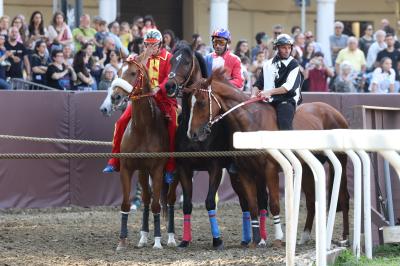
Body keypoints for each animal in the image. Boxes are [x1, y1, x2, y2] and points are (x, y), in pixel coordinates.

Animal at [164, 41, 270, 247]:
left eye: (186, 62)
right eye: (171, 60)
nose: (170, 85)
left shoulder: (215, 167)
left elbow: (209, 202)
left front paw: (217, 239)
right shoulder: (184, 167)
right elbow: (187, 204)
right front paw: (185, 241)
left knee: (258, 200)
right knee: (245, 202)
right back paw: (246, 239)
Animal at [184, 68, 350, 245]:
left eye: (201, 102)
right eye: (189, 103)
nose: (192, 134)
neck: (252, 123)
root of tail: (334, 112)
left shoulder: (270, 170)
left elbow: (274, 204)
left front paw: (278, 237)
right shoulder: (245, 173)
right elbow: (253, 205)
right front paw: (257, 240)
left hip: (339, 163)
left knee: (343, 198)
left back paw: (345, 238)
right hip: (307, 170)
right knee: (312, 201)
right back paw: (304, 237)